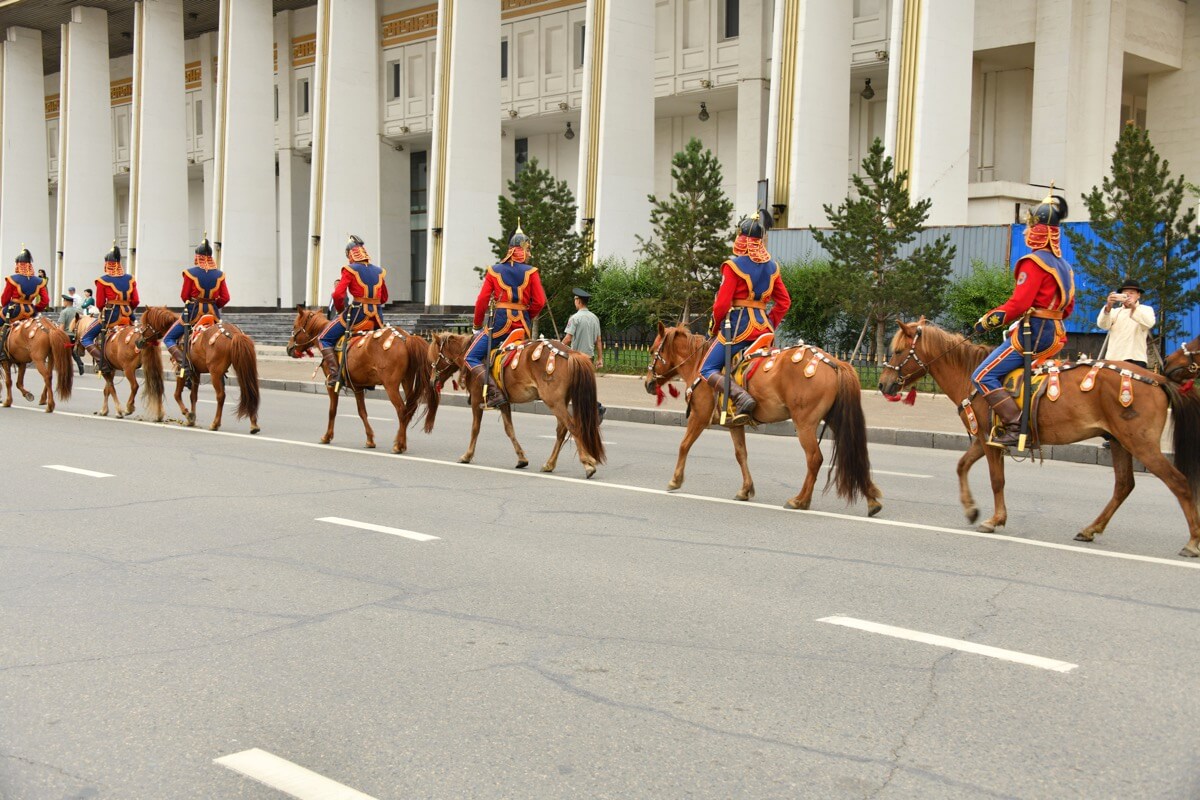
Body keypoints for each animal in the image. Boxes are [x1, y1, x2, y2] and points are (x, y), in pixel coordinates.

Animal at [286, 305, 436, 453]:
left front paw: (327, 436)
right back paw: (401, 443)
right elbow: (362, 412)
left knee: (401, 410)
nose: (288, 348)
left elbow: (332, 410)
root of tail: (405, 338)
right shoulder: (357, 387)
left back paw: (398, 445)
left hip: (391, 385)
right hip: (407, 382)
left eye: (294, 326)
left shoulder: (331, 385)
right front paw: (370, 439)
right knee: (409, 410)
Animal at [428, 331, 605, 478]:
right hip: (561, 401)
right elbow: (509, 429)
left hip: (553, 401)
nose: (431, 381)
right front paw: (521, 458)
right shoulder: (504, 401)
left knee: (572, 426)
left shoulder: (477, 400)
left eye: (433, 359)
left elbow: (475, 429)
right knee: (562, 430)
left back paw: (587, 464)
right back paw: (550, 464)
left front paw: (467, 455)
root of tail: (570, 353)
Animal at [643, 322, 882, 514]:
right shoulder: (734, 424)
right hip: (835, 419)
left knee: (815, 459)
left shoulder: (699, 417)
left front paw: (675, 480)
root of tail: (834, 362)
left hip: (804, 424)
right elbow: (741, 454)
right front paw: (745, 489)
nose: (647, 383)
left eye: (653, 350)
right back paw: (872, 500)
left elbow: (684, 445)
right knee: (856, 455)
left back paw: (800, 500)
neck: (700, 363)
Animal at [879, 318, 1200, 557]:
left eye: (898, 350)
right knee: (1124, 485)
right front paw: (970, 509)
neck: (970, 374)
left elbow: (997, 480)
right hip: (1120, 441)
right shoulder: (985, 440)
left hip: (1140, 444)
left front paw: (995, 519)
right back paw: (1090, 529)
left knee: (1178, 482)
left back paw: (1192, 541)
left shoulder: (989, 441)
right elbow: (962, 466)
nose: (883, 384)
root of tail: (1157, 378)